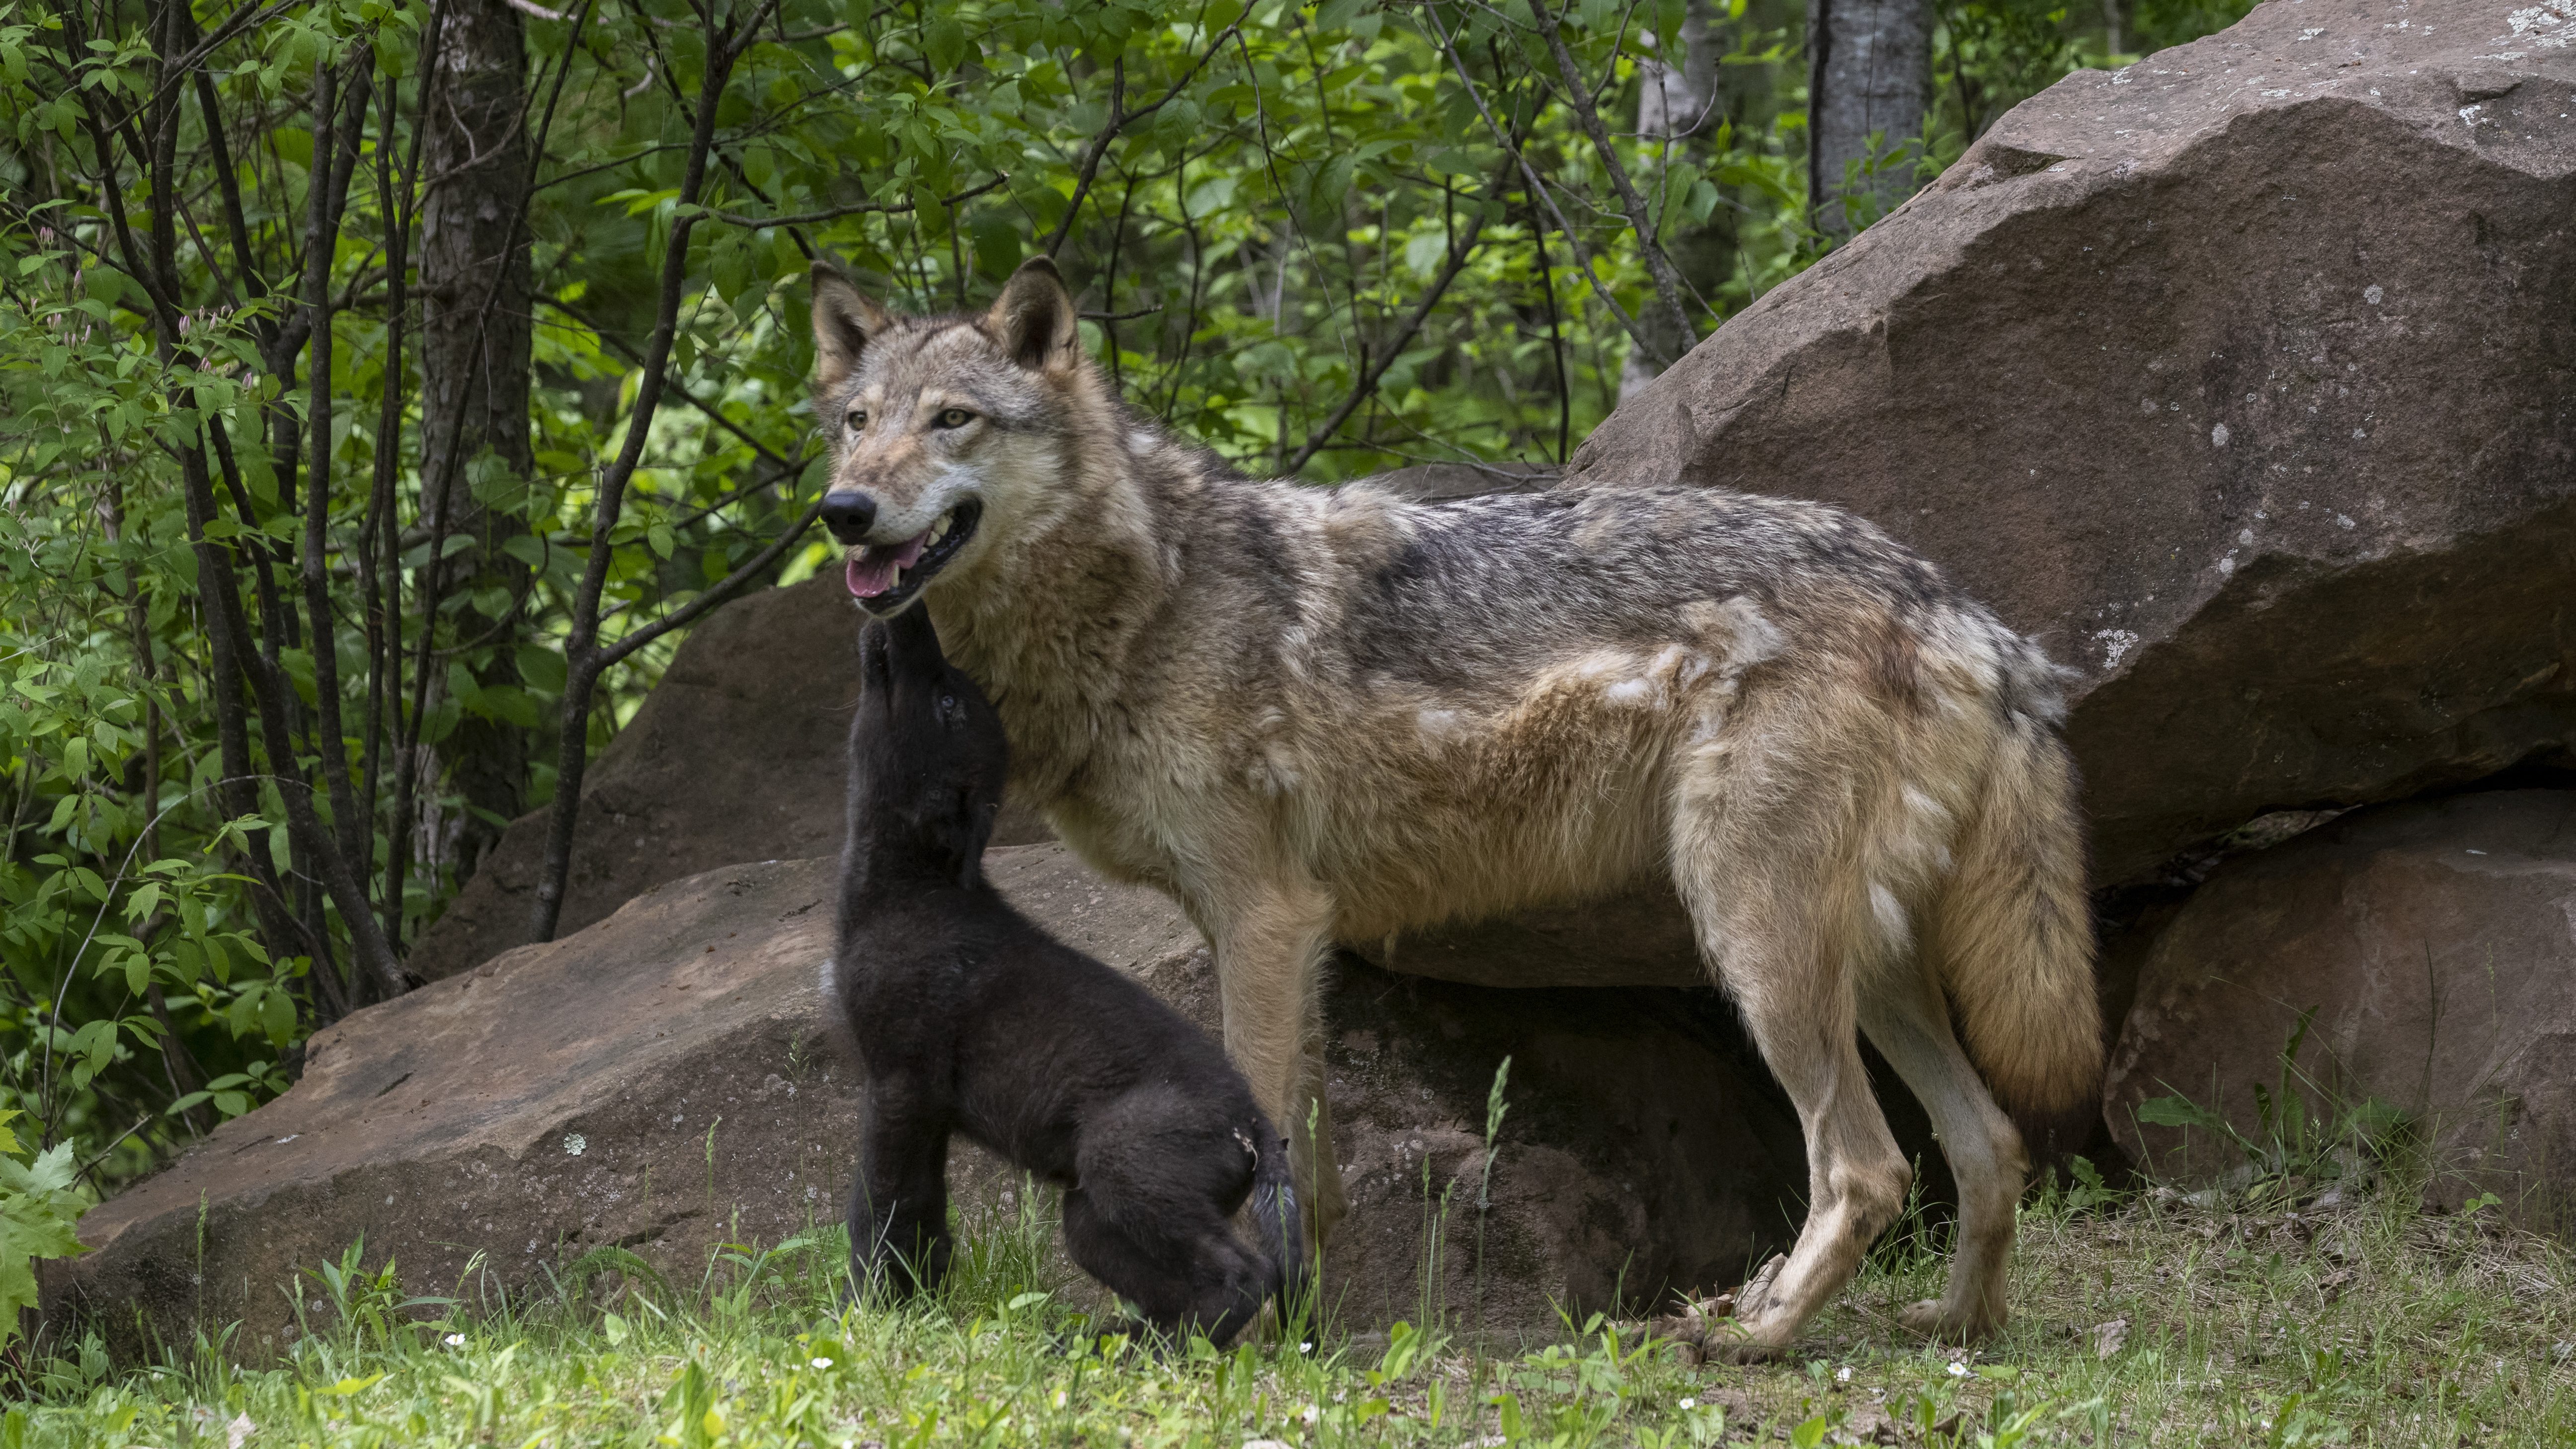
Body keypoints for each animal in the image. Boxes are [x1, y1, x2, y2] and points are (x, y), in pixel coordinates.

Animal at [829, 600, 1298, 1341]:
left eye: (946, 701)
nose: (913, 616)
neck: (909, 886)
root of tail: (1255, 1126)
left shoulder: (899, 1085)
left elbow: (878, 1211)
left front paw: (867, 1317)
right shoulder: (928, 1111)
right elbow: (923, 1218)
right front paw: (916, 1311)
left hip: (1122, 1166)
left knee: (1245, 1276)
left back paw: (1152, 1352)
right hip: (1090, 1218)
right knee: (1177, 1289)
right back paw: (1110, 1345)